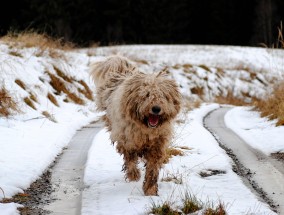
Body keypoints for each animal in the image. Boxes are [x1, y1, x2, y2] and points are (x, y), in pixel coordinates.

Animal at [90, 54, 181, 196]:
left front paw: (150, 189)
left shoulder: (157, 144)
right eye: (146, 95)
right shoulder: (127, 140)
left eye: (163, 95)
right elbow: (130, 159)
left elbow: (152, 168)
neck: (145, 129)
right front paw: (134, 175)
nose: (156, 109)